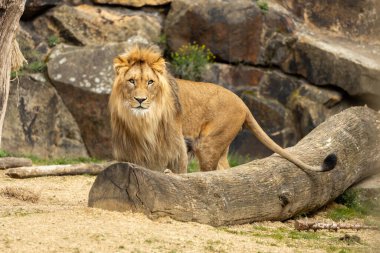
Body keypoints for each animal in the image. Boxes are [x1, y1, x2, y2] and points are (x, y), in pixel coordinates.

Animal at [108, 44, 336, 174]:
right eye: (131, 81)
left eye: (150, 82)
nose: (140, 100)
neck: (143, 120)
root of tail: (243, 102)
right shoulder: (133, 144)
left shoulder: (176, 143)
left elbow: (179, 169)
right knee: (225, 172)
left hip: (207, 143)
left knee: (210, 174)